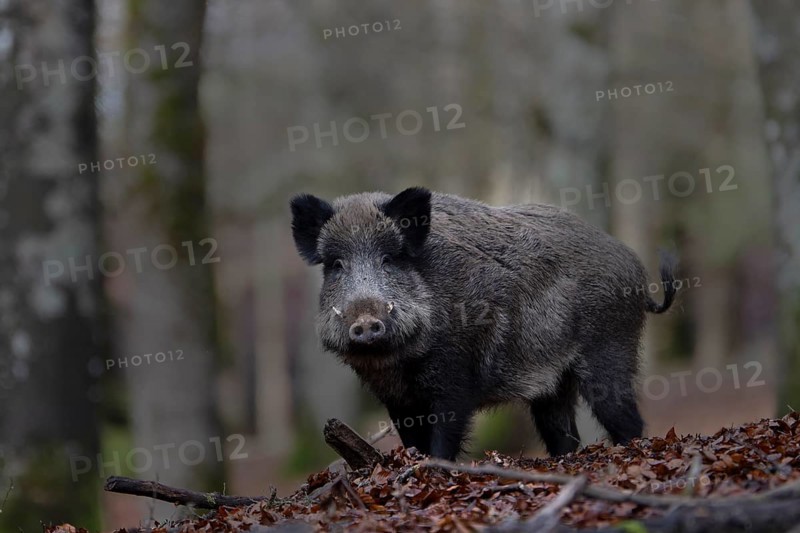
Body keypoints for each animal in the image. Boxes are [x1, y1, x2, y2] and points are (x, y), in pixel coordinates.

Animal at [290, 187, 676, 460]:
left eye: (389, 258)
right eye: (336, 265)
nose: (367, 321)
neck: (398, 362)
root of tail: (637, 275)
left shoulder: (455, 377)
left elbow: (445, 436)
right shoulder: (395, 399)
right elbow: (413, 440)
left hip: (609, 350)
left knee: (628, 419)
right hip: (553, 384)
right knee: (563, 433)